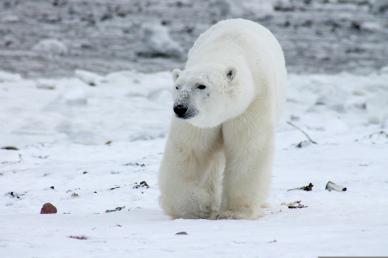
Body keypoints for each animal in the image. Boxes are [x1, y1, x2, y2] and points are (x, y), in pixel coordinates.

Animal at [158, 18, 288, 220]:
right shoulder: (199, 124)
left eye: (201, 85)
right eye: (178, 86)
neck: (226, 47)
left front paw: (234, 212)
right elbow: (191, 151)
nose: (180, 108)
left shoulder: (252, 103)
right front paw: (191, 209)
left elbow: (247, 149)